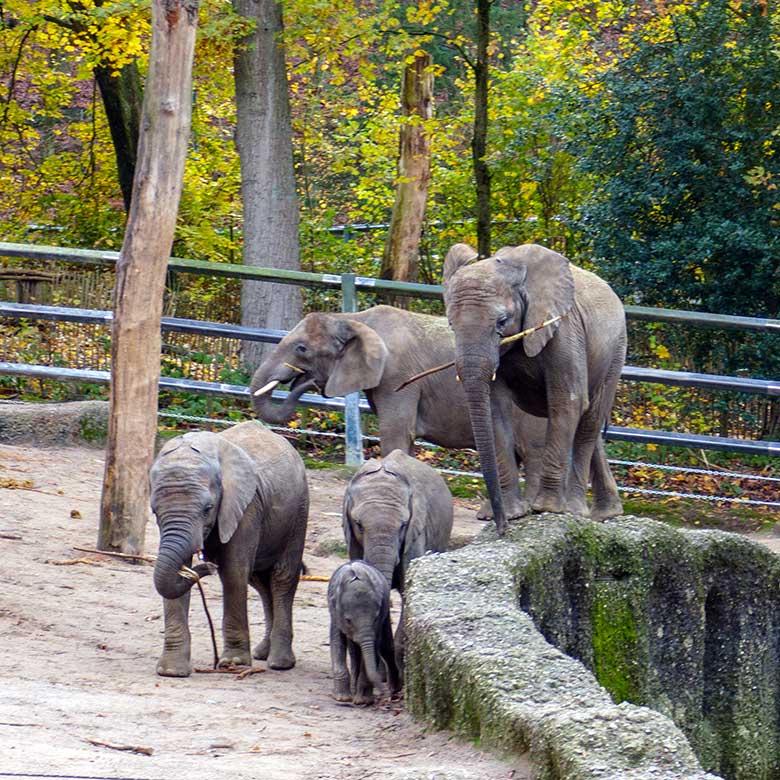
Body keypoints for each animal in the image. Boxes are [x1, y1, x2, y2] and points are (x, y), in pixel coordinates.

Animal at [149, 420, 308, 676]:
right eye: (154, 510)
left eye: (208, 508)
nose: (207, 565)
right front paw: (171, 671)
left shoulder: (247, 507)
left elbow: (233, 572)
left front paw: (234, 663)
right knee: (259, 581)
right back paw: (262, 653)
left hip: (299, 510)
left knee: (282, 577)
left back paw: (280, 663)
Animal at [326, 556, 400, 704]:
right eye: (348, 620)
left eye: (375, 618)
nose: (385, 695)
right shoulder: (335, 613)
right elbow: (337, 642)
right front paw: (342, 698)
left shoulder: (379, 616)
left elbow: (375, 646)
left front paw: (362, 701)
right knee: (355, 650)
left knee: (385, 646)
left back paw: (394, 689)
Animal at [442, 244, 624, 536]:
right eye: (451, 324)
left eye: (502, 321)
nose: (502, 529)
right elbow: (495, 409)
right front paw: (515, 514)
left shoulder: (564, 326)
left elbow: (567, 401)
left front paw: (546, 509)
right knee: (590, 425)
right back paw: (606, 513)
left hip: (616, 350)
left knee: (589, 417)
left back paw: (576, 510)